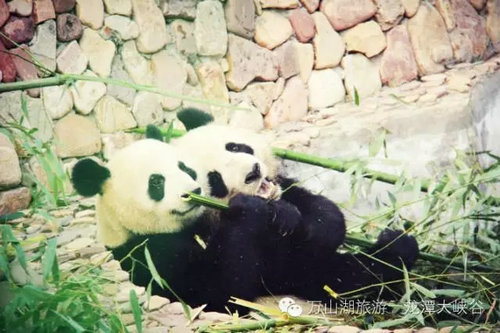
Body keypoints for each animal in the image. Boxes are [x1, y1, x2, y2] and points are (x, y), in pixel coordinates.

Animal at [167, 108, 418, 304]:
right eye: (214, 180)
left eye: (235, 147)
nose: (253, 173)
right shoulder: (175, 242)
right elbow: (218, 292)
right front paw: (249, 210)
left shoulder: (286, 189)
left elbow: (321, 212)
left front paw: (294, 221)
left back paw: (397, 248)